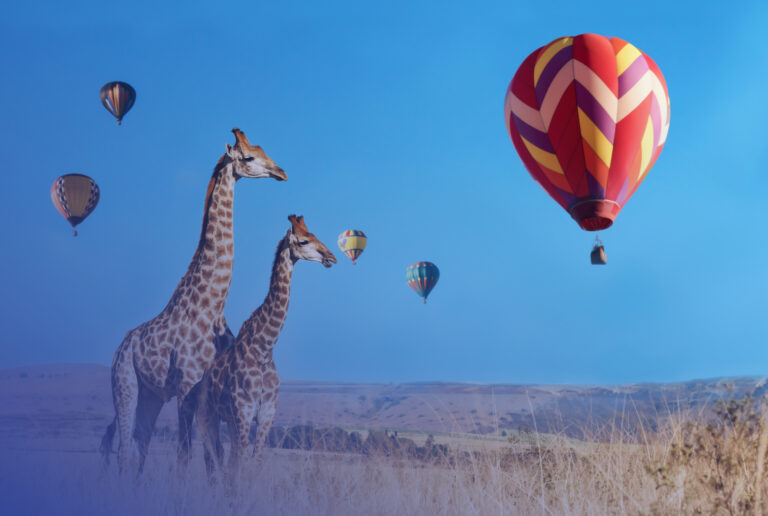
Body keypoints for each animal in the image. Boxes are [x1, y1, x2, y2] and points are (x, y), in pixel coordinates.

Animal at [99, 128, 287, 473]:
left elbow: (216, 456)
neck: (212, 304)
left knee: (140, 445)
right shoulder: (188, 386)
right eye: (248, 157)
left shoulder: (209, 391)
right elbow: (186, 454)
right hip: (124, 384)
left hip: (152, 395)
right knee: (124, 447)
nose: (281, 172)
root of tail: (121, 346)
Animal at [194, 215, 336, 479]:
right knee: (212, 458)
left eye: (315, 235)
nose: (331, 257)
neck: (264, 348)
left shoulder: (266, 415)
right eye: (303, 241)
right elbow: (241, 463)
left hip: (228, 419)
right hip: (207, 415)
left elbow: (255, 463)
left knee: (225, 458)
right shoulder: (243, 412)